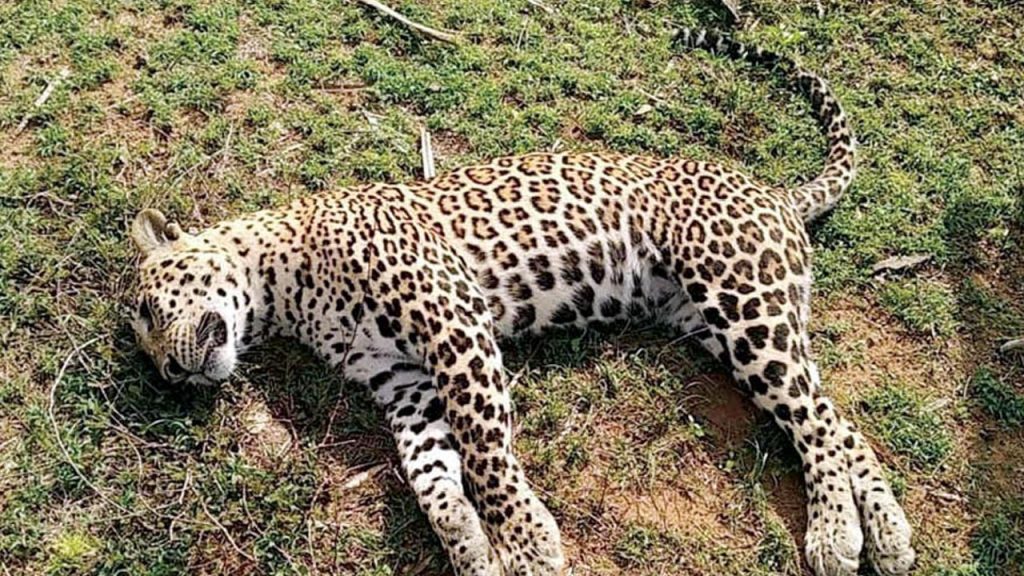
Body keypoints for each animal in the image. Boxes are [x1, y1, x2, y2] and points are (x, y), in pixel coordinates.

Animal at [129, 29, 915, 576]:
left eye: (147, 311)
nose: (169, 373)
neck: (285, 289)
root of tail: (776, 191)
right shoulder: (402, 382)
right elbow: (432, 477)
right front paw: (472, 548)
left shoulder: (453, 323)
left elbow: (484, 454)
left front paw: (527, 543)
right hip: (727, 328)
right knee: (836, 419)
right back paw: (888, 533)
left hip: (743, 300)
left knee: (816, 424)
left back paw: (835, 532)